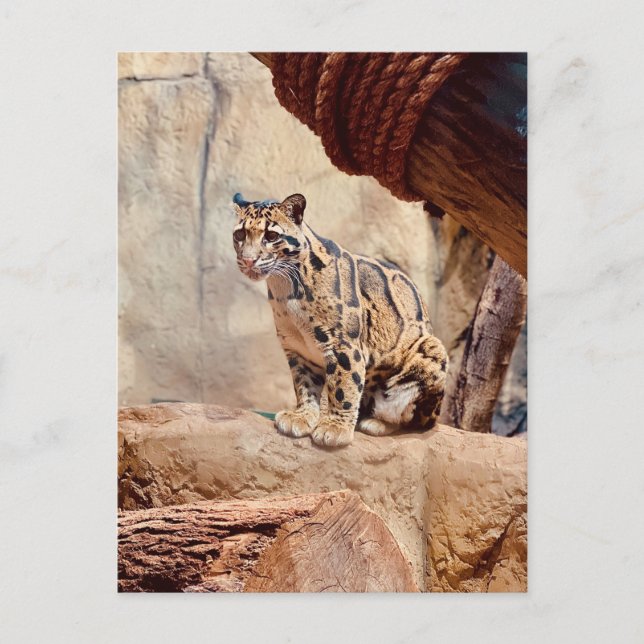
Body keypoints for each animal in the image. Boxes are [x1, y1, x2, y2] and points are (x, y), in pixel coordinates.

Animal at [232, 192, 448, 448]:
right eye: (239, 234)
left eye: (271, 236)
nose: (248, 260)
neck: (285, 287)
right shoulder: (297, 349)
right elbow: (304, 385)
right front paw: (302, 416)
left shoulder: (343, 344)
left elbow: (343, 386)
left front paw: (334, 428)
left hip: (431, 350)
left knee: (413, 419)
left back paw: (377, 422)